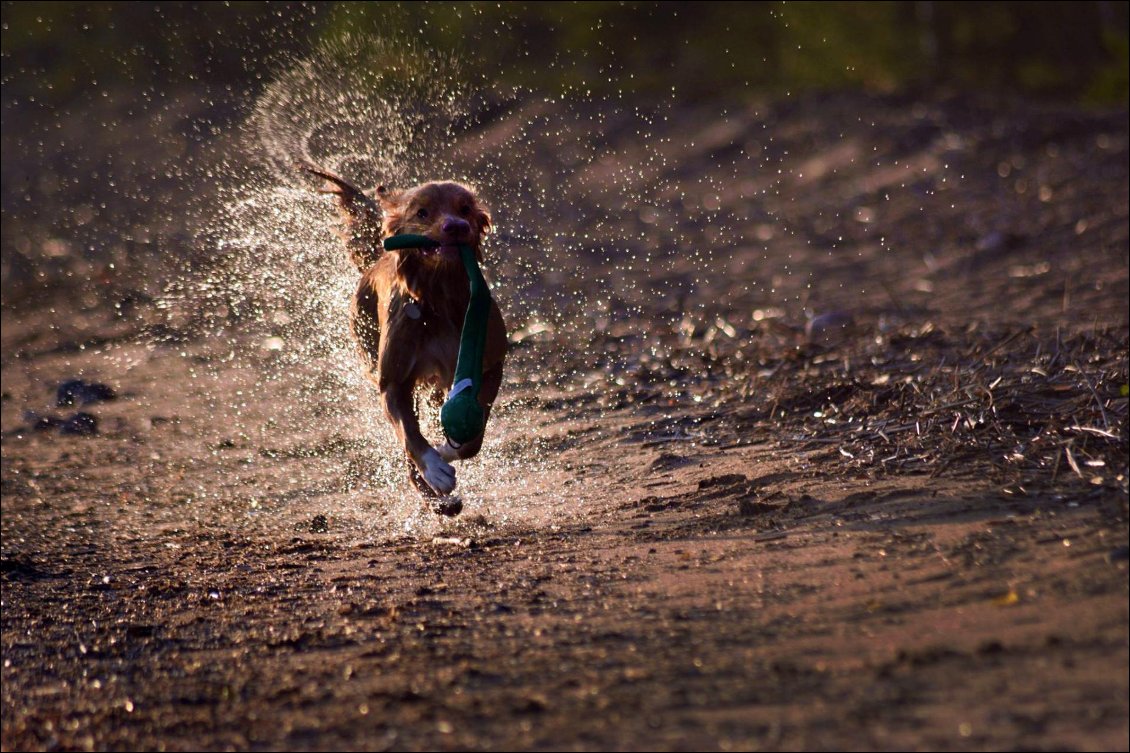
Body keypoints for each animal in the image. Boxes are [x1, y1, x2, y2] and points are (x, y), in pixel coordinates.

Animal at [307, 167, 506, 495]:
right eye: (422, 212)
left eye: (465, 208)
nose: (455, 226)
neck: (439, 297)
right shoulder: (393, 382)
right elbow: (409, 434)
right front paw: (435, 469)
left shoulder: (490, 366)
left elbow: (474, 433)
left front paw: (447, 449)